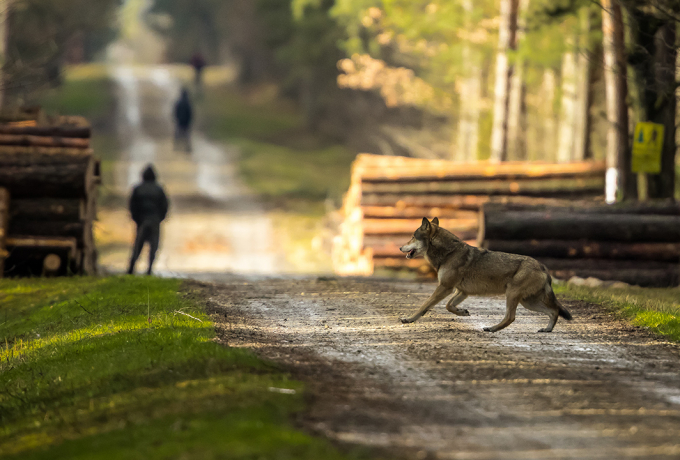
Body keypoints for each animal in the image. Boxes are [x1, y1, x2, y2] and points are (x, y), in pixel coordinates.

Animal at [399, 217, 572, 332]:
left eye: (412, 237)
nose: (400, 247)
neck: (449, 253)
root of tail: (543, 267)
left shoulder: (445, 287)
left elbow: (424, 306)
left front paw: (409, 319)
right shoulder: (461, 291)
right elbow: (449, 306)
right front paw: (462, 312)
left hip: (513, 295)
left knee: (511, 317)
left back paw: (491, 328)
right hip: (528, 302)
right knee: (554, 312)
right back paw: (547, 329)